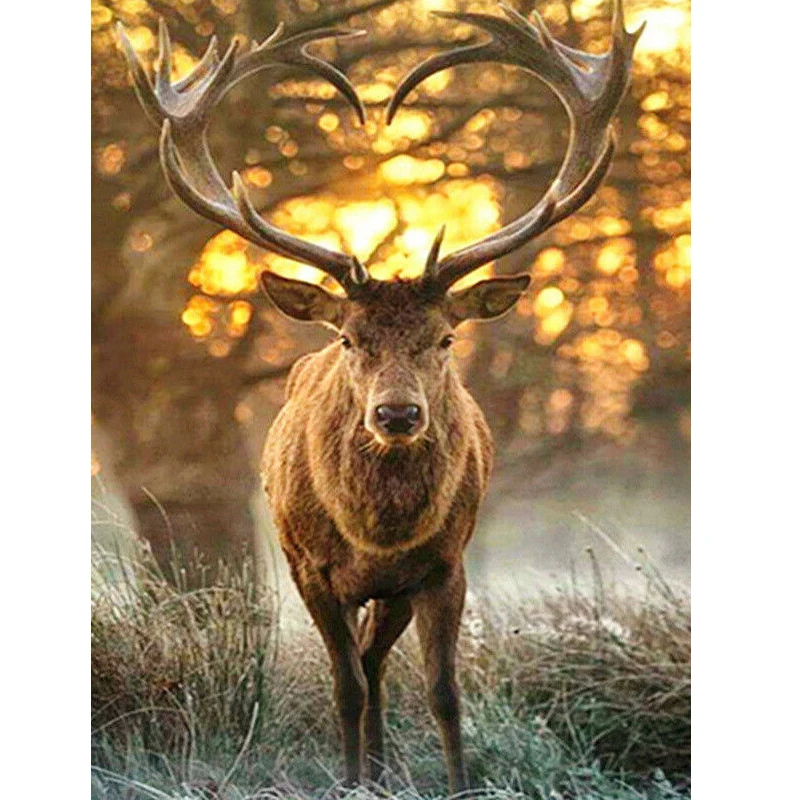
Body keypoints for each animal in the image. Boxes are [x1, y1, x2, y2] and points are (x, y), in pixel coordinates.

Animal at [118, 1, 641, 791]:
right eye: (348, 339)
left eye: (446, 338)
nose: (397, 414)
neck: (377, 530)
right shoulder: (307, 566)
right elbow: (344, 685)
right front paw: (350, 781)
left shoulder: (443, 566)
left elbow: (443, 690)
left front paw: (459, 784)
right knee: (362, 669)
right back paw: (369, 769)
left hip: (396, 592)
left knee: (377, 660)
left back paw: (385, 766)